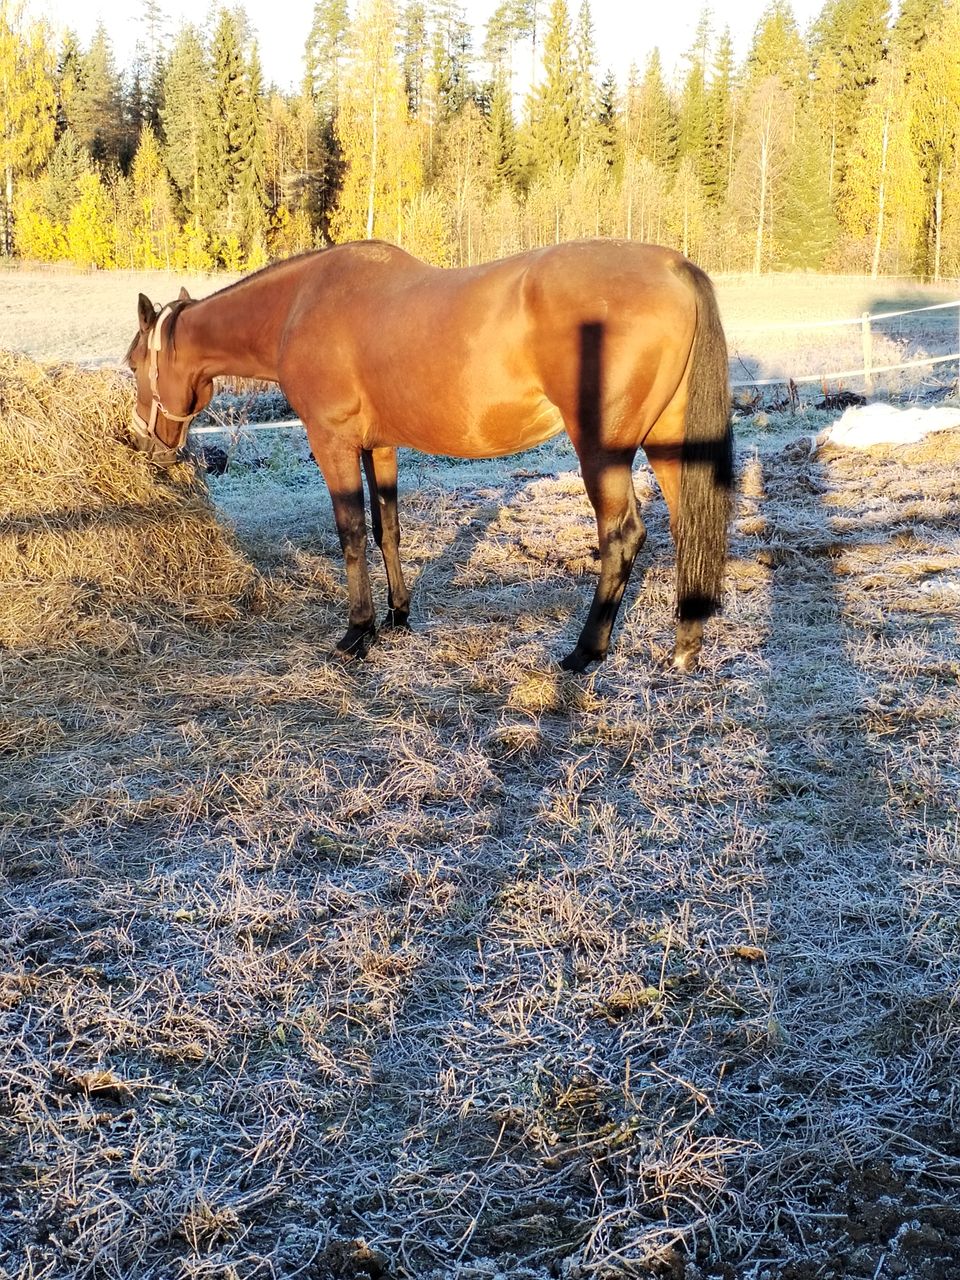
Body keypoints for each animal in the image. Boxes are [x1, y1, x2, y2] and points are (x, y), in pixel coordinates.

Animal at [126, 243, 727, 675]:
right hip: (668, 445)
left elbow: (350, 533)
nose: (145, 446)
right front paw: (397, 616)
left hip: (603, 451)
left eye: (134, 364)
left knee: (623, 536)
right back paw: (685, 648)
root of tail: (674, 267)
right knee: (687, 527)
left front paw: (358, 632)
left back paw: (584, 653)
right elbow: (386, 529)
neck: (300, 305)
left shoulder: (332, 444)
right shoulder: (380, 445)